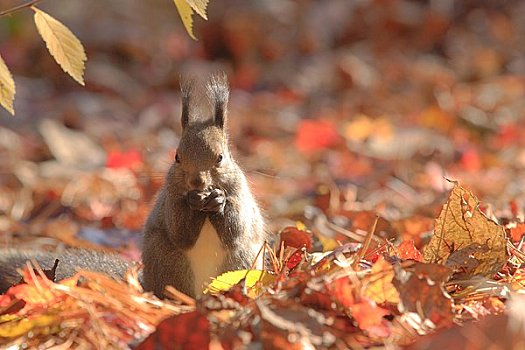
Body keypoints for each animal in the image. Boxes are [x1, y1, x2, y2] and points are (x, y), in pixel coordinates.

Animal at [0, 74, 266, 298]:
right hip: (170, 264)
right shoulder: (171, 199)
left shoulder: (239, 194)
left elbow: (236, 230)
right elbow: (180, 232)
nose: (197, 182)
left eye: (220, 158)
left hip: (241, 262)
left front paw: (219, 200)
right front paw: (193, 202)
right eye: (177, 157)